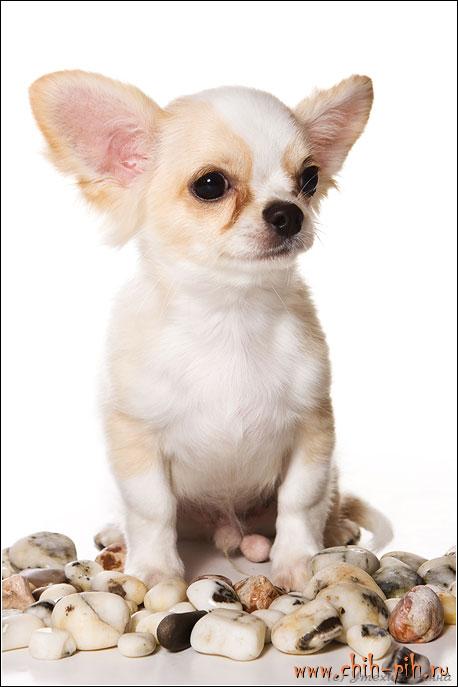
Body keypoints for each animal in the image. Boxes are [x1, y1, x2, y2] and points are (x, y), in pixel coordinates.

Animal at [30, 71, 392, 590]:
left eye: (309, 178)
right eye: (210, 185)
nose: (289, 212)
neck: (229, 314)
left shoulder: (313, 428)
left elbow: (300, 501)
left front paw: (297, 561)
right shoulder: (135, 437)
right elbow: (152, 508)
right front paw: (155, 570)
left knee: (327, 499)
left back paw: (336, 527)